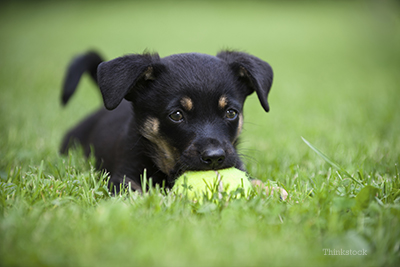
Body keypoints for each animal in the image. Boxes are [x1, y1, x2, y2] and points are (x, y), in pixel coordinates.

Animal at [60, 49, 284, 197]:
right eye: (176, 115)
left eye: (231, 113)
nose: (215, 158)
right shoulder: (122, 177)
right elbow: (134, 192)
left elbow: (254, 180)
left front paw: (272, 190)